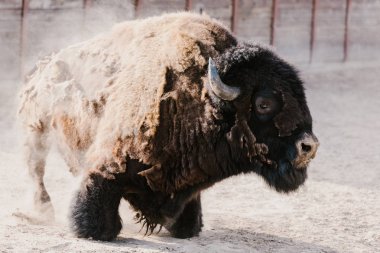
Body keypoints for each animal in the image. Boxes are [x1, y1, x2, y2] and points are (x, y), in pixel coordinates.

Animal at [19, 12, 320, 241]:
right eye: (264, 103)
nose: (309, 146)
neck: (198, 97)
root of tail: (44, 65)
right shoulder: (107, 166)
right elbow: (98, 222)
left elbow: (186, 225)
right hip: (35, 133)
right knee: (36, 171)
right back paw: (43, 211)